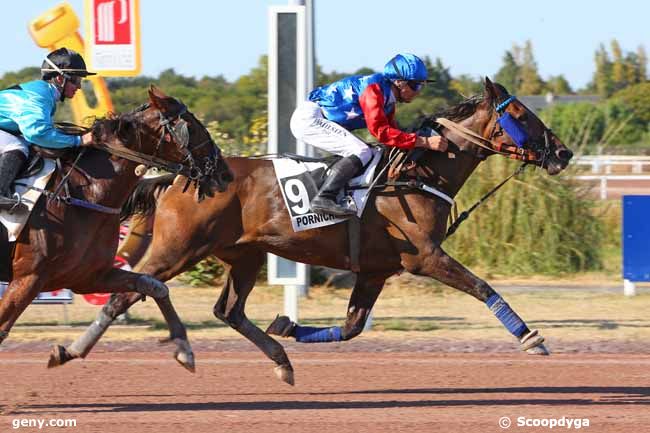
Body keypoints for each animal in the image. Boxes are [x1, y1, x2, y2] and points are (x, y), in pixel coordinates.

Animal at [0, 86, 232, 346]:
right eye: (190, 126)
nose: (225, 174)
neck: (83, 194)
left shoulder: (87, 276)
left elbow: (152, 285)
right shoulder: (28, 278)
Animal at [48, 78, 568, 384]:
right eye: (520, 115)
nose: (562, 153)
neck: (416, 173)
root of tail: (178, 176)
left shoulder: (375, 270)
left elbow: (352, 327)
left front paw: (291, 324)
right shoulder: (424, 256)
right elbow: (482, 286)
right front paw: (532, 337)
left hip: (244, 254)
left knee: (228, 310)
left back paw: (281, 358)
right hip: (178, 249)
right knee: (128, 293)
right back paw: (70, 350)